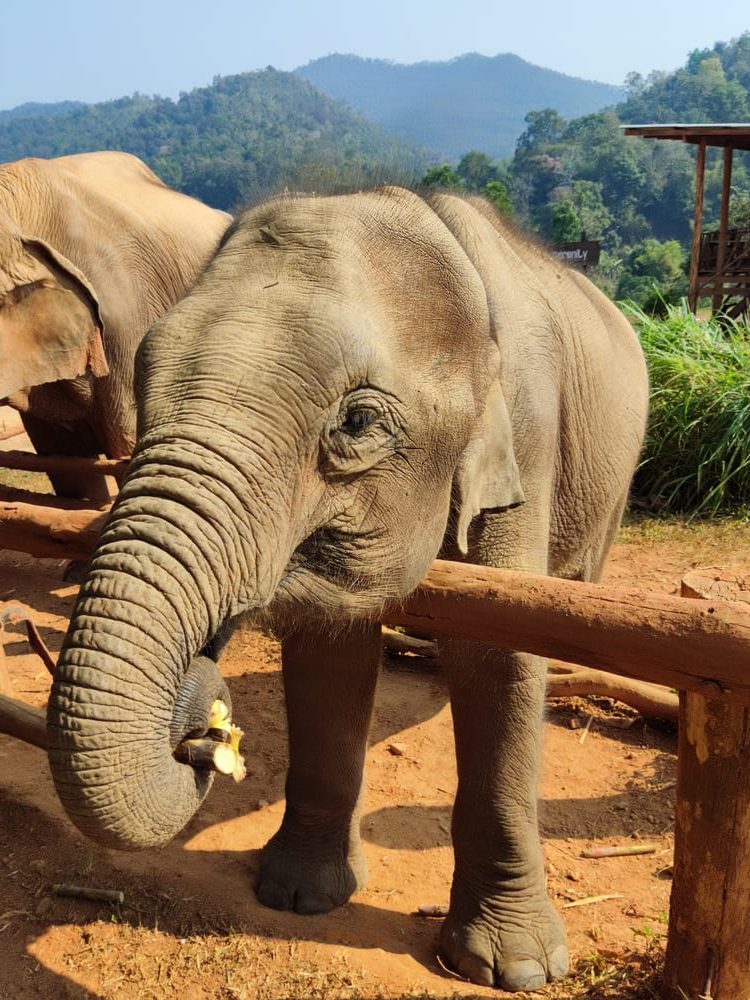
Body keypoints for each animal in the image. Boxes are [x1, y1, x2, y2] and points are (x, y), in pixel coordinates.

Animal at [46, 187, 649, 991]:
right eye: (141, 385)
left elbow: (499, 654)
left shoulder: (527, 438)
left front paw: (514, 971)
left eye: (357, 422)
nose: (201, 732)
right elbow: (328, 651)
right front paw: (298, 897)